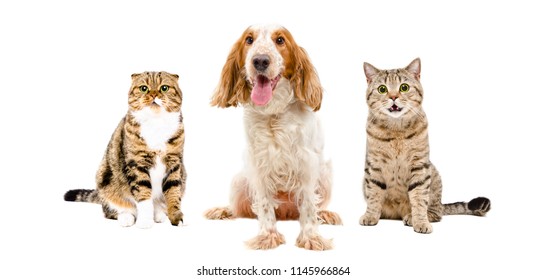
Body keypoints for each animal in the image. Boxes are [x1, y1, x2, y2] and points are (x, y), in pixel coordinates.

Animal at [64, 71, 185, 229]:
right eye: (144, 88)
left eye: (164, 88)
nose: (153, 94)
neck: (156, 124)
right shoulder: (137, 164)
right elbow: (143, 194)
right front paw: (145, 221)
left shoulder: (174, 163)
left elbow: (173, 193)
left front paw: (176, 217)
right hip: (104, 178)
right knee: (111, 210)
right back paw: (126, 217)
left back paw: (159, 214)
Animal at [204, 24, 340, 252]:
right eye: (249, 40)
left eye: (280, 40)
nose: (260, 60)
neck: (273, 113)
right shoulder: (258, 165)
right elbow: (265, 206)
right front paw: (268, 236)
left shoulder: (307, 163)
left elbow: (309, 206)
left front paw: (311, 237)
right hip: (239, 180)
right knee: (240, 208)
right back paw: (223, 210)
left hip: (326, 173)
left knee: (317, 204)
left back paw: (326, 214)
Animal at [356, 58, 488, 233]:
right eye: (382, 89)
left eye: (404, 87)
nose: (393, 96)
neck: (396, 131)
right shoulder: (374, 167)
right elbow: (374, 195)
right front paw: (370, 215)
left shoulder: (419, 166)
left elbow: (419, 199)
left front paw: (420, 222)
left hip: (434, 176)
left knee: (436, 211)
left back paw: (412, 217)